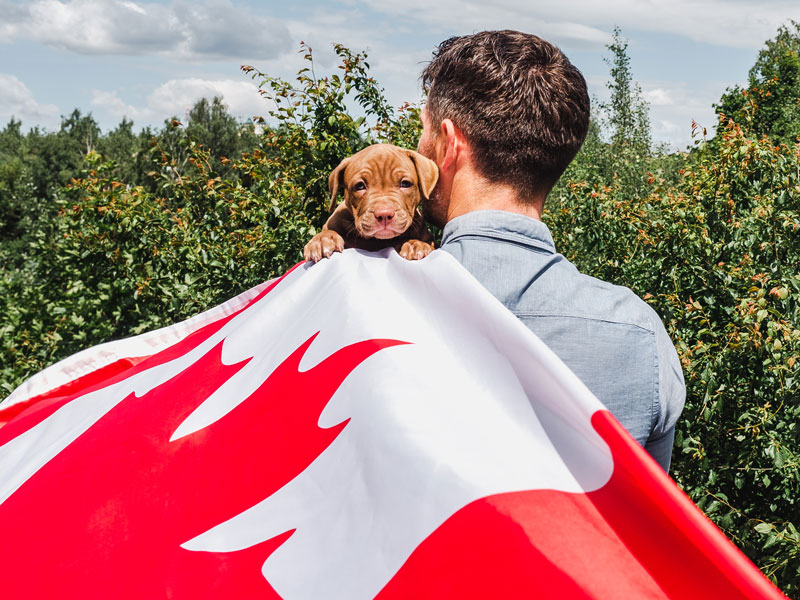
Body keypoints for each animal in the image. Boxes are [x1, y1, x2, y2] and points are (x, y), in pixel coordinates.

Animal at [304, 144, 438, 264]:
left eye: (405, 183)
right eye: (360, 186)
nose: (384, 214)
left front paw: (414, 244)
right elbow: (328, 230)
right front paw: (323, 239)